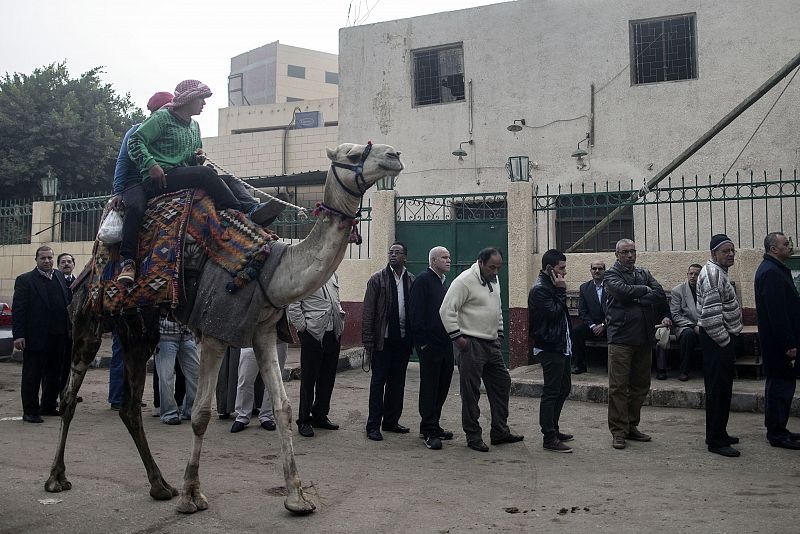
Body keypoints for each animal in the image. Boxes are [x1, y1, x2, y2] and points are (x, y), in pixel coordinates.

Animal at [43, 141, 404, 516]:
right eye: (352, 155)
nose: (394, 155)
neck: (270, 270)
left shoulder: (263, 332)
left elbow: (283, 407)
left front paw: (297, 498)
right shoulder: (215, 331)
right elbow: (201, 413)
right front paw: (192, 495)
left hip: (137, 328)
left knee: (129, 407)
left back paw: (160, 485)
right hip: (88, 318)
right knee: (69, 395)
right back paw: (57, 477)